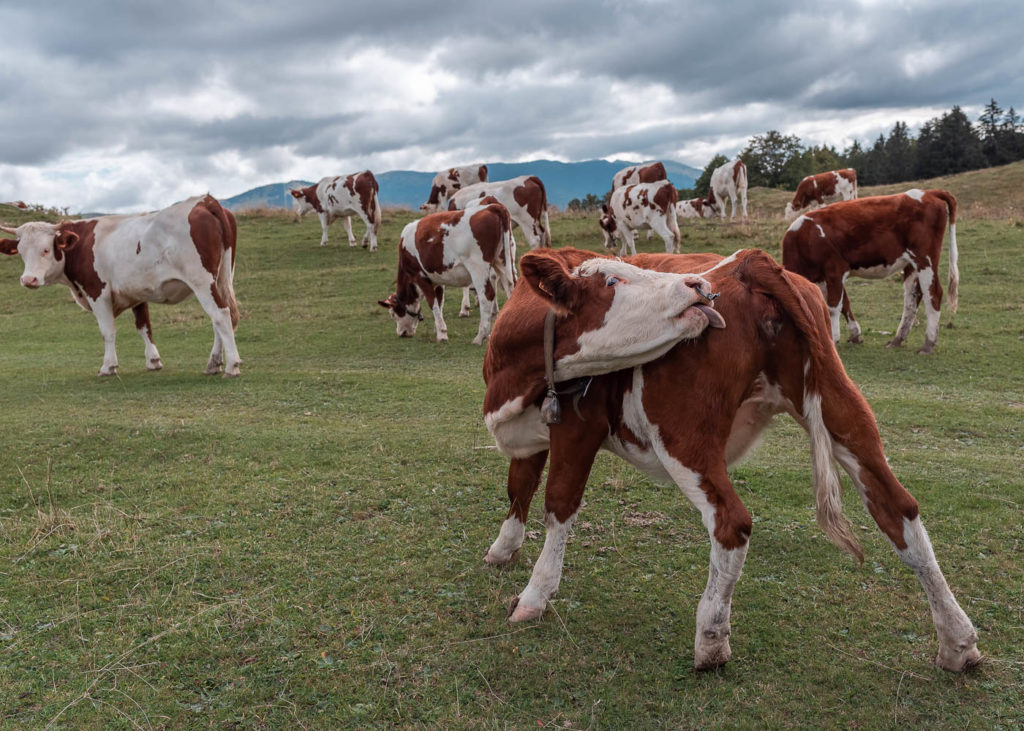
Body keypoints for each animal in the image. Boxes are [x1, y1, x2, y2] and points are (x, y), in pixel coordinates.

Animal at [1, 193, 241, 376]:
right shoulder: (138, 292)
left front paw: (108, 366)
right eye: (21, 251)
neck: (82, 244)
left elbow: (107, 331)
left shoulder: (97, 292)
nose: (28, 280)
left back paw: (232, 365)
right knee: (221, 318)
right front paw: (153, 361)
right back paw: (213, 363)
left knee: (220, 314)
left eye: (46, 249)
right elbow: (144, 327)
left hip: (202, 282)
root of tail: (204, 201)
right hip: (220, 279)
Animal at [378, 193, 516, 341]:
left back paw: (481, 336)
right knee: (510, 286)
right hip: (502, 261)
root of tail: (492, 207)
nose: (402, 333)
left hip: (478, 268)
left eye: (393, 314)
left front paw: (442, 334)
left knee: (487, 295)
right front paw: (438, 329)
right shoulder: (437, 279)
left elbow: (433, 303)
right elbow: (440, 302)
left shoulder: (420, 277)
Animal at [483, 244, 978, 671]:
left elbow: (558, 504)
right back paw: (958, 642)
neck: (518, 370)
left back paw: (711, 640)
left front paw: (534, 596)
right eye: (612, 279)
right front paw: (503, 548)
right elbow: (518, 485)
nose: (697, 284)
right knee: (899, 511)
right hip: (844, 412)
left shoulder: (576, 427)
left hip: (685, 439)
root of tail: (750, 263)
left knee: (731, 523)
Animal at [782, 189, 958, 352]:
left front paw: (833, 339)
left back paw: (928, 344)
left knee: (934, 293)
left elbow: (833, 307)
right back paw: (898, 339)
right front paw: (854, 334)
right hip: (911, 264)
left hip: (925, 259)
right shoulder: (822, 279)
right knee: (912, 299)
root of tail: (928, 192)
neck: (804, 239)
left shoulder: (834, 270)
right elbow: (844, 303)